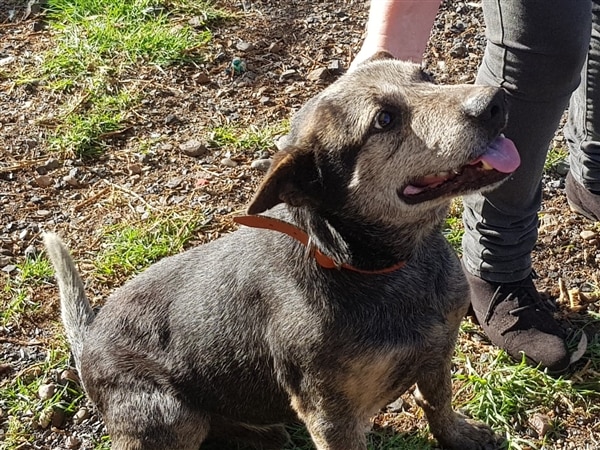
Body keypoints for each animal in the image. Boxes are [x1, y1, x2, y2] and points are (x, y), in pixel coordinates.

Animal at [43, 53, 520, 450]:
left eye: (427, 76)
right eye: (384, 119)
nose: (496, 101)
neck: (373, 266)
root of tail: (87, 343)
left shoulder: (437, 351)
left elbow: (437, 403)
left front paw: (458, 436)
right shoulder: (330, 415)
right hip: (172, 415)